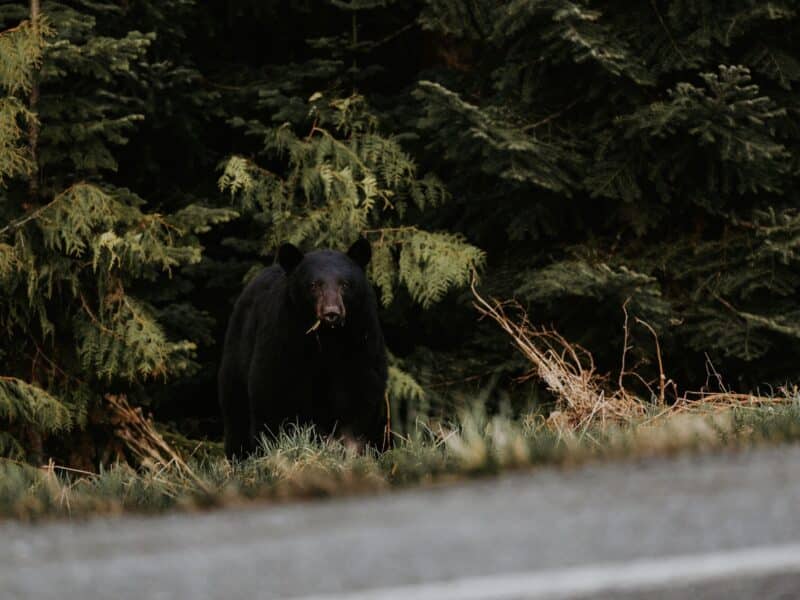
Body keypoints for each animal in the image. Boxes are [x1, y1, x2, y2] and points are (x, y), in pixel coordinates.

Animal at [217, 237, 389, 458]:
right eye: (314, 285)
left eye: (345, 284)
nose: (331, 313)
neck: (328, 340)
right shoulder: (284, 339)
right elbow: (273, 393)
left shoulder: (361, 340)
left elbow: (361, 392)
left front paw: (353, 450)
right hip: (237, 354)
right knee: (236, 411)